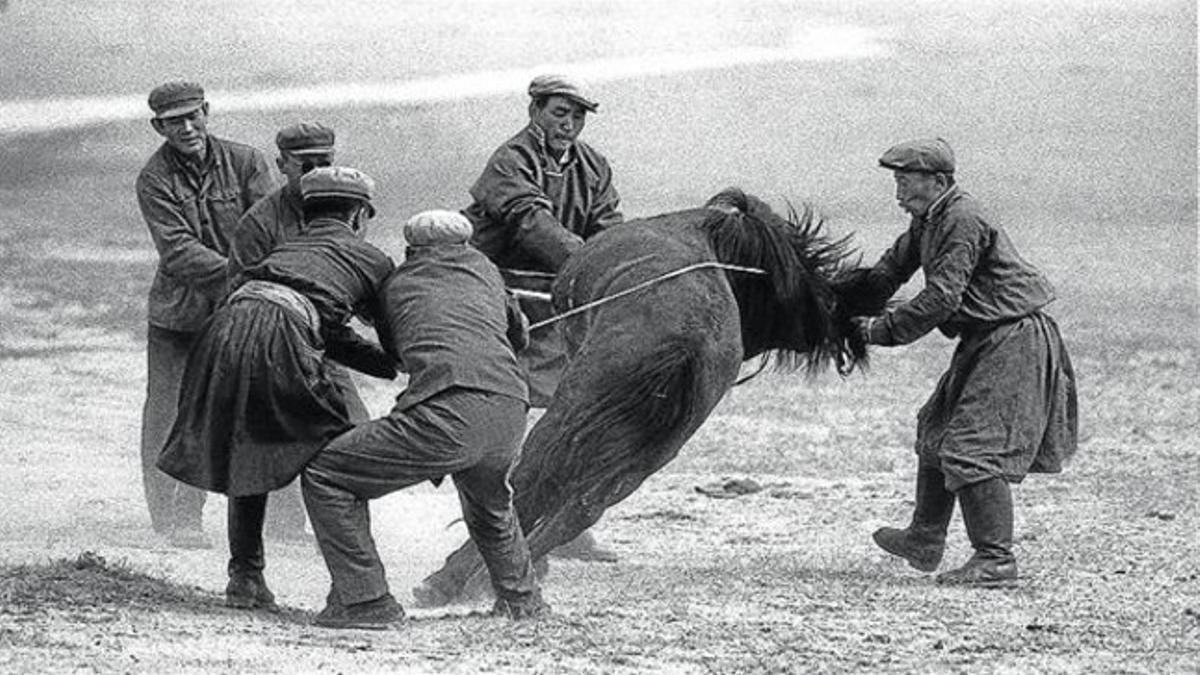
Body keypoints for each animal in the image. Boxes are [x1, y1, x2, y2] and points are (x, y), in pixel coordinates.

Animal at [417, 186, 888, 600]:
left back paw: (449, 580)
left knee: (530, 482)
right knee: (580, 507)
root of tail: (686, 341)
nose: (847, 343)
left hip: (574, 413)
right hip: (649, 452)